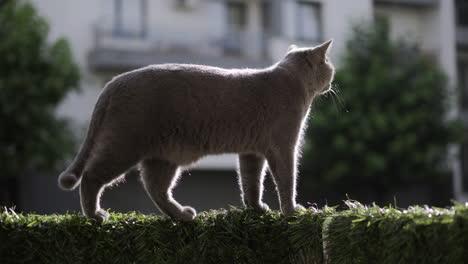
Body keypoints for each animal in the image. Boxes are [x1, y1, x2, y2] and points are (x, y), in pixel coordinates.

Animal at [58, 39, 334, 221]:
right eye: (329, 64)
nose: (333, 77)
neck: (294, 82)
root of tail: (113, 82)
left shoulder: (252, 152)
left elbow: (250, 182)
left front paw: (256, 208)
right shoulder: (284, 146)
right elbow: (287, 180)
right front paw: (291, 211)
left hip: (163, 156)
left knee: (155, 187)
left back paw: (182, 215)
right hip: (125, 144)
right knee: (92, 175)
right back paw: (95, 215)